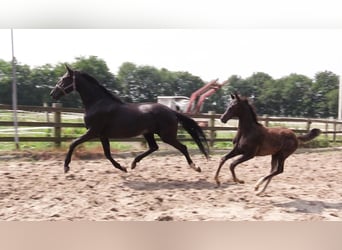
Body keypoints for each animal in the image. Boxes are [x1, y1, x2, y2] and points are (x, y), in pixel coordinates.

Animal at [48, 65, 208, 173]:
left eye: (64, 79)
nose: (52, 94)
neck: (98, 103)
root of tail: (171, 111)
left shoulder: (92, 132)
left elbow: (73, 143)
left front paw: (66, 167)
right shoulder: (102, 135)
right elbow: (107, 154)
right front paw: (122, 168)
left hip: (166, 135)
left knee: (182, 147)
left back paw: (196, 167)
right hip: (148, 133)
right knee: (154, 147)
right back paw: (133, 163)